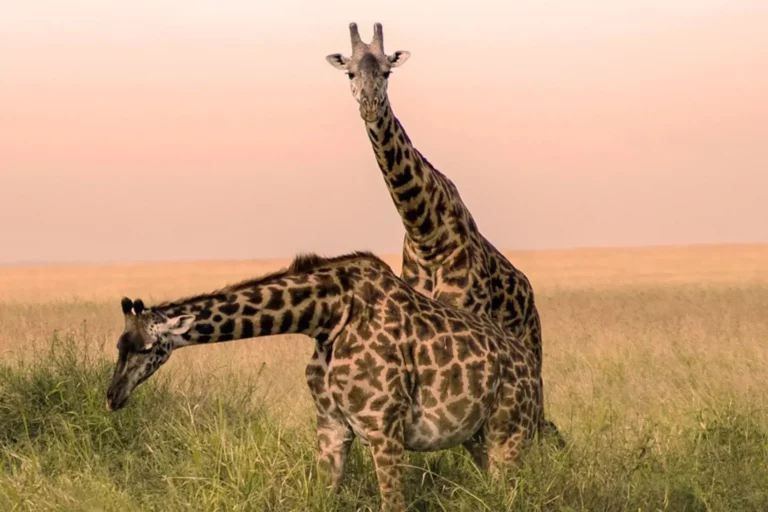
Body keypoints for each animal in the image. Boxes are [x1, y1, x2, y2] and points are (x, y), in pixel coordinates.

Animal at [105, 252, 544, 512]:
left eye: (147, 348)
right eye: (119, 345)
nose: (112, 397)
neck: (327, 317)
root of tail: (531, 367)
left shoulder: (384, 429)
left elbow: (394, 505)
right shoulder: (331, 426)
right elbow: (321, 498)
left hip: (509, 431)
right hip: (478, 437)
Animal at [326, 24, 564, 456]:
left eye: (387, 71)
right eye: (350, 72)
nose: (369, 105)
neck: (426, 230)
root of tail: (530, 295)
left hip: (531, 349)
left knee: (538, 420)